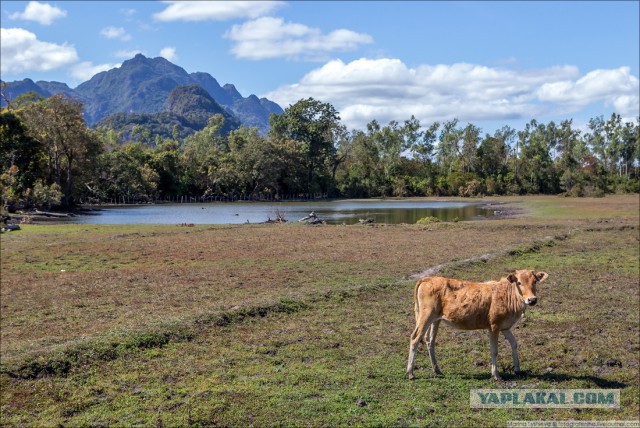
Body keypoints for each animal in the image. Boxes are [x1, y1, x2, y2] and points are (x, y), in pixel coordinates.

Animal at [404, 270, 552, 382]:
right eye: (519, 282)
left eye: (535, 281)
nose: (532, 299)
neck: (508, 295)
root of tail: (427, 279)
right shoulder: (494, 325)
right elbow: (494, 350)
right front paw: (496, 375)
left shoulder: (505, 327)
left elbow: (514, 343)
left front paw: (517, 369)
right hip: (426, 316)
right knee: (415, 338)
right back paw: (411, 373)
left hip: (435, 319)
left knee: (430, 341)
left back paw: (437, 370)